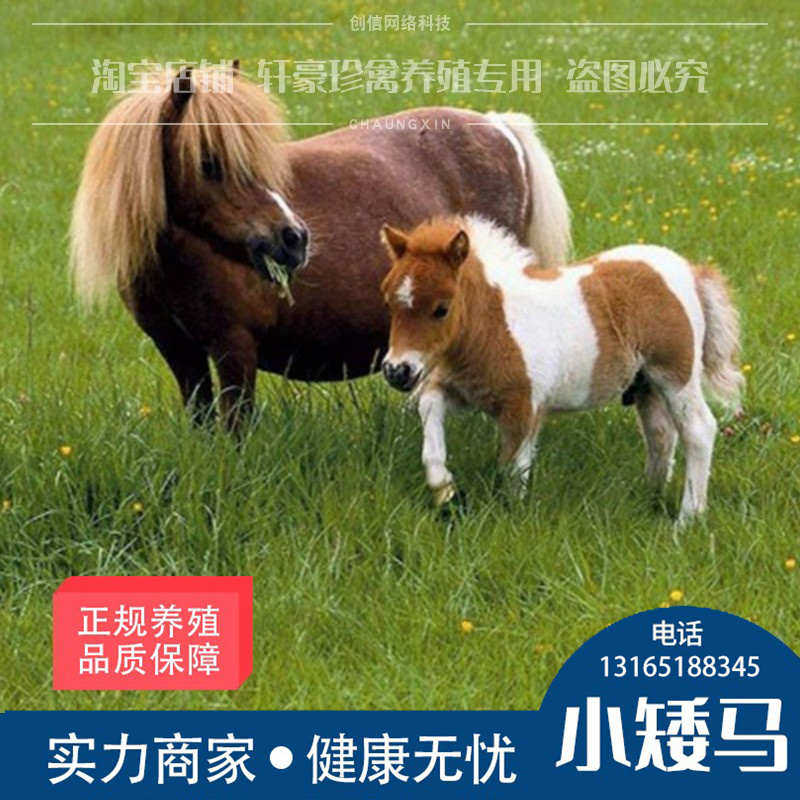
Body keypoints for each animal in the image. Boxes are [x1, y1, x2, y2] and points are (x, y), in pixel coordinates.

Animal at [379, 216, 743, 524]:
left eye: (442, 309)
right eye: (390, 303)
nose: (397, 371)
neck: (496, 325)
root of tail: (690, 271)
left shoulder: (524, 407)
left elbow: (511, 469)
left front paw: (510, 519)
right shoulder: (462, 392)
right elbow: (430, 413)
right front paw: (445, 490)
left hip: (675, 375)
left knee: (699, 429)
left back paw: (687, 520)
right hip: (646, 384)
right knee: (660, 435)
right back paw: (648, 499)